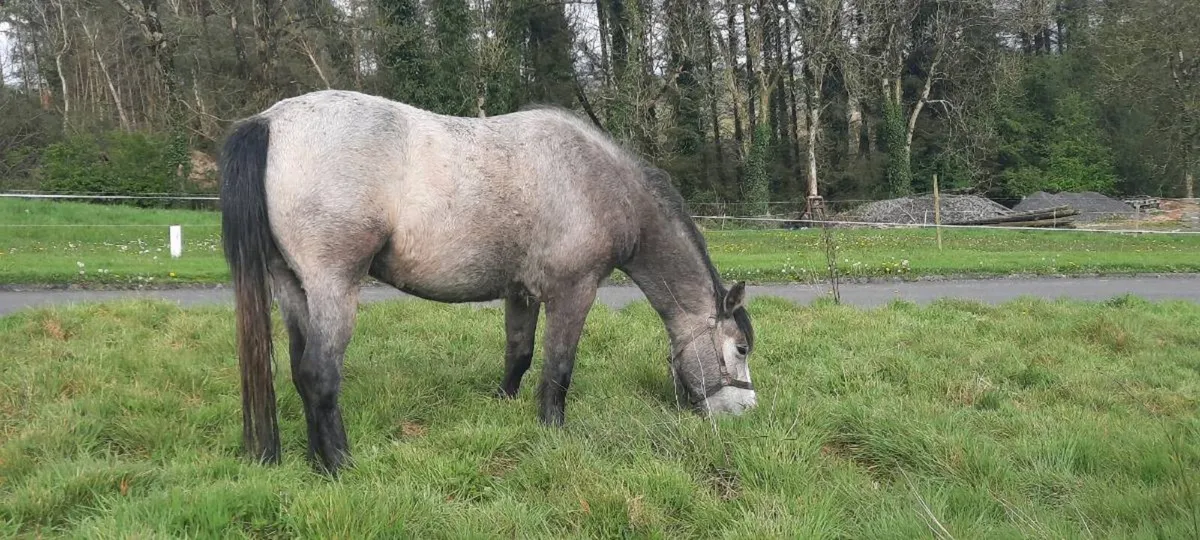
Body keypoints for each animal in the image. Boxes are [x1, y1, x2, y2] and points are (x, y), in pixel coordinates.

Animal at [219, 90, 757, 475]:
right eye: (741, 348)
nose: (746, 414)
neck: (598, 182)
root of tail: (270, 122)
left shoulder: (521, 293)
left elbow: (519, 352)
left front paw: (505, 404)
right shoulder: (574, 292)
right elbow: (558, 367)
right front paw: (553, 430)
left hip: (293, 288)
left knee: (299, 370)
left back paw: (314, 460)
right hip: (334, 287)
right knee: (319, 374)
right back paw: (338, 465)